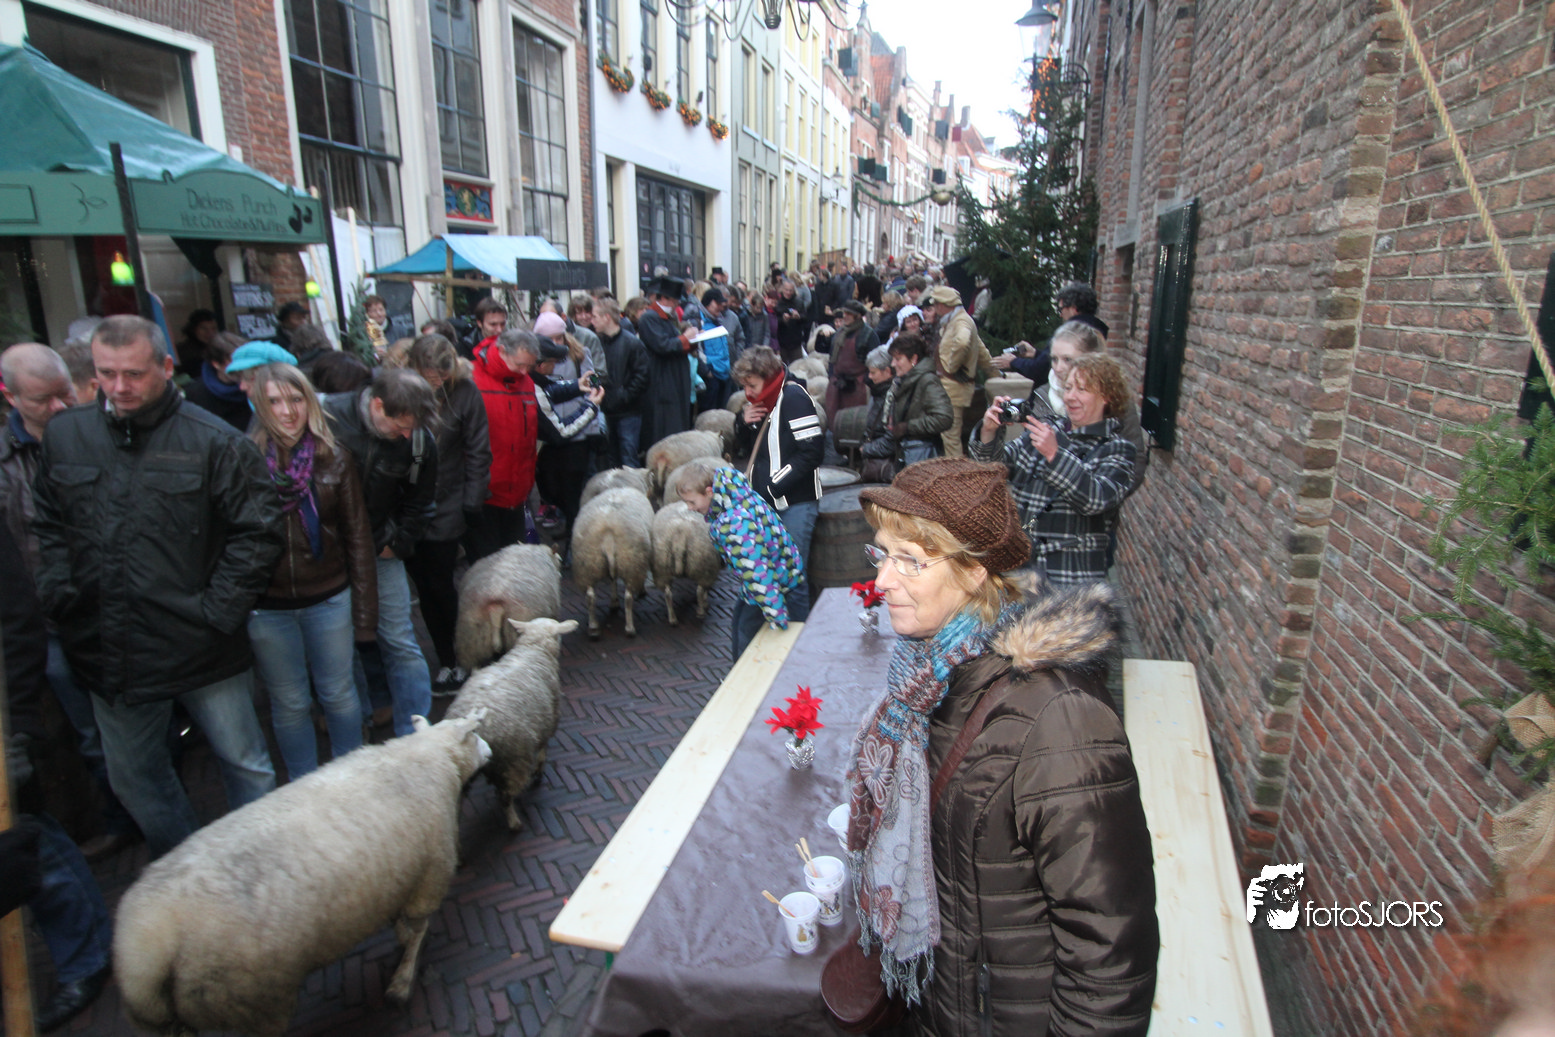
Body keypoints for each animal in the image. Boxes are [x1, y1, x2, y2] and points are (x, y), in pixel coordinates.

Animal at [113, 714, 491, 1037]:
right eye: (473, 734)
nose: (490, 749)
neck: (427, 755)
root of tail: (141, 952)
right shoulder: (428, 877)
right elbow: (417, 931)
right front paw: (402, 980)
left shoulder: (407, 880)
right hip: (253, 997)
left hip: (180, 1015)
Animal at [445, 617, 577, 830]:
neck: (533, 649)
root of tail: (477, 726)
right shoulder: (548, 719)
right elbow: (543, 749)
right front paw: (539, 771)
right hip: (513, 760)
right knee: (505, 797)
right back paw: (514, 823)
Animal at [571, 486, 655, 640]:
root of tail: (608, 531)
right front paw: (641, 591)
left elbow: (612, 579)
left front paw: (614, 602)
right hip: (631, 561)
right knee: (628, 597)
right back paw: (630, 629)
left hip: (588, 562)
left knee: (590, 596)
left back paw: (593, 628)